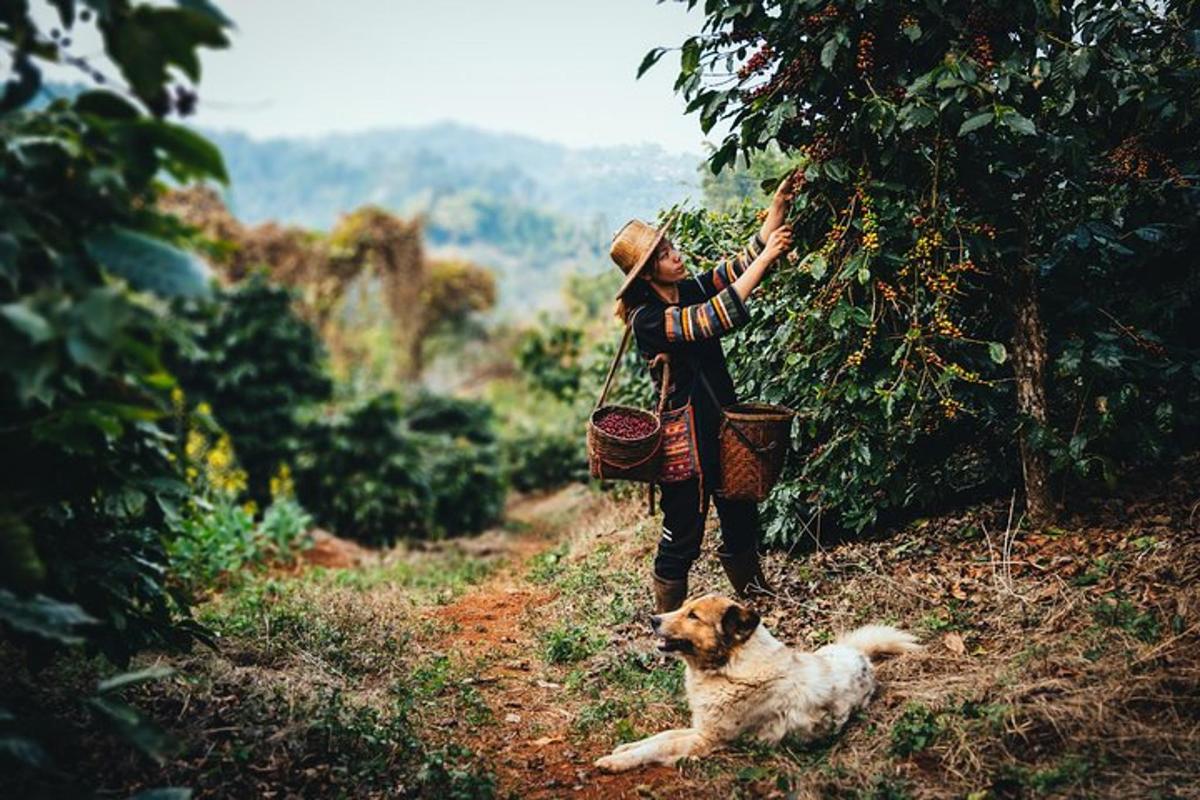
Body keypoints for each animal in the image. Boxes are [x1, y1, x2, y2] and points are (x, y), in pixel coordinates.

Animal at [590, 592, 916, 772]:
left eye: (693, 616)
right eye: (683, 607)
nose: (653, 619)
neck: (729, 669)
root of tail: (860, 656)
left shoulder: (705, 740)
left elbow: (657, 747)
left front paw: (615, 763)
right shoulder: (701, 727)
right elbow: (660, 736)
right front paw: (625, 748)